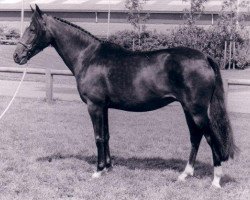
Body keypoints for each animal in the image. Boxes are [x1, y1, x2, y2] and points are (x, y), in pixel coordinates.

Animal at [13, 5, 236, 188]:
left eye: (32, 29)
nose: (17, 56)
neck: (88, 57)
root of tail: (204, 57)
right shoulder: (104, 107)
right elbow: (106, 136)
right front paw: (108, 167)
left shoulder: (94, 106)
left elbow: (98, 137)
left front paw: (98, 171)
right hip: (188, 109)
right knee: (195, 137)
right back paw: (185, 174)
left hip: (197, 111)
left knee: (210, 138)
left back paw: (216, 180)